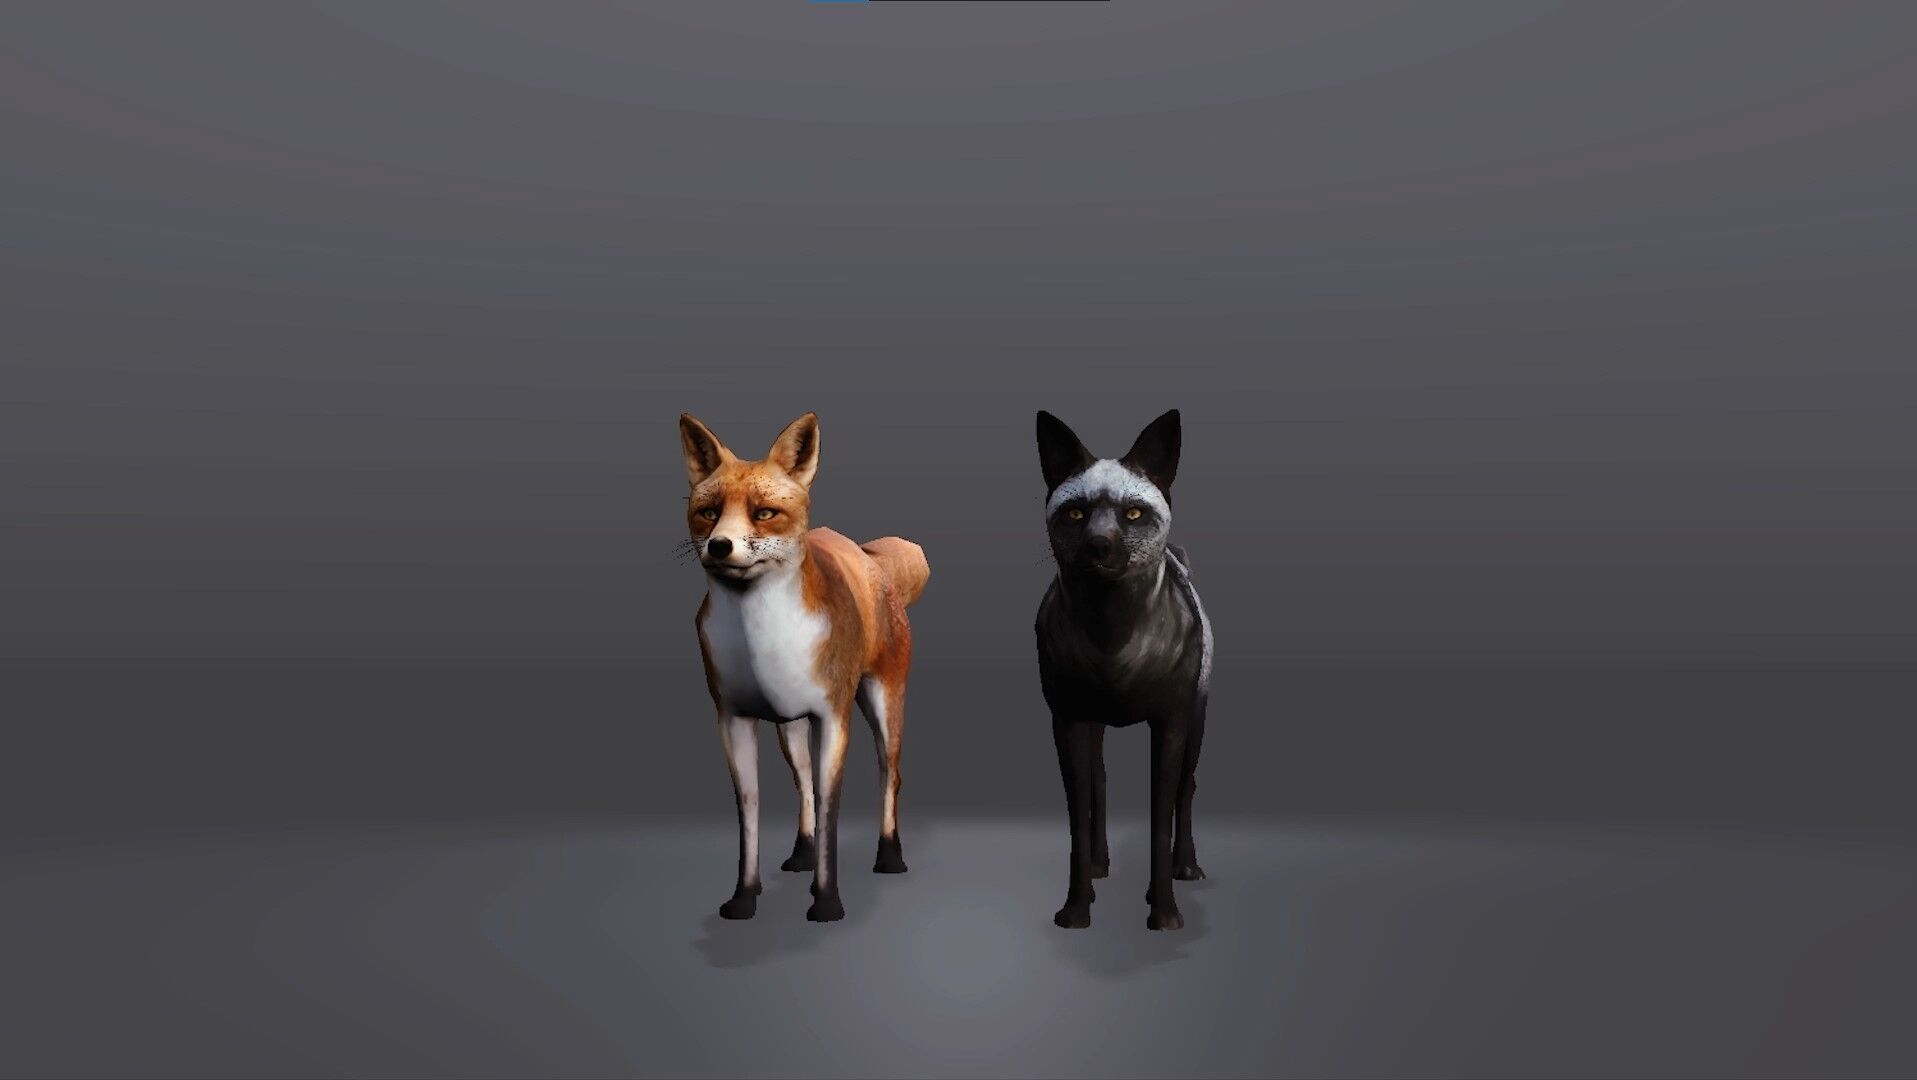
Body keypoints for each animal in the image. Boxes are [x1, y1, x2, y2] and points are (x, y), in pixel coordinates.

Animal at [679, 411, 929, 923]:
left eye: (763, 512)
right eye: (709, 512)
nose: (720, 546)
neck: (761, 641)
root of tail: (870, 559)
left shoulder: (832, 717)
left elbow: (831, 805)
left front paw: (827, 901)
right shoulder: (732, 718)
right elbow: (751, 808)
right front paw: (744, 897)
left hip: (882, 706)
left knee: (889, 775)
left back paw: (890, 855)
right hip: (788, 728)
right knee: (803, 786)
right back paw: (802, 852)